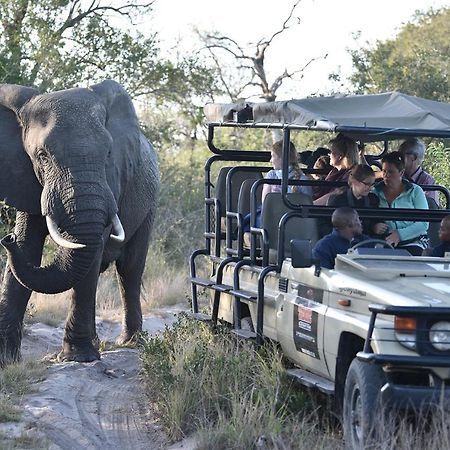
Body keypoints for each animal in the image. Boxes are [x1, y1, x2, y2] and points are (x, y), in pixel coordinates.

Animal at [0, 79, 160, 364]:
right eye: (42, 156)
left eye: (108, 153)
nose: (7, 239)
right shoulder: (25, 176)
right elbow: (28, 247)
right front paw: (6, 362)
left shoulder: (112, 178)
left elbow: (92, 252)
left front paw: (78, 357)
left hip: (150, 203)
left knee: (129, 269)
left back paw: (130, 341)